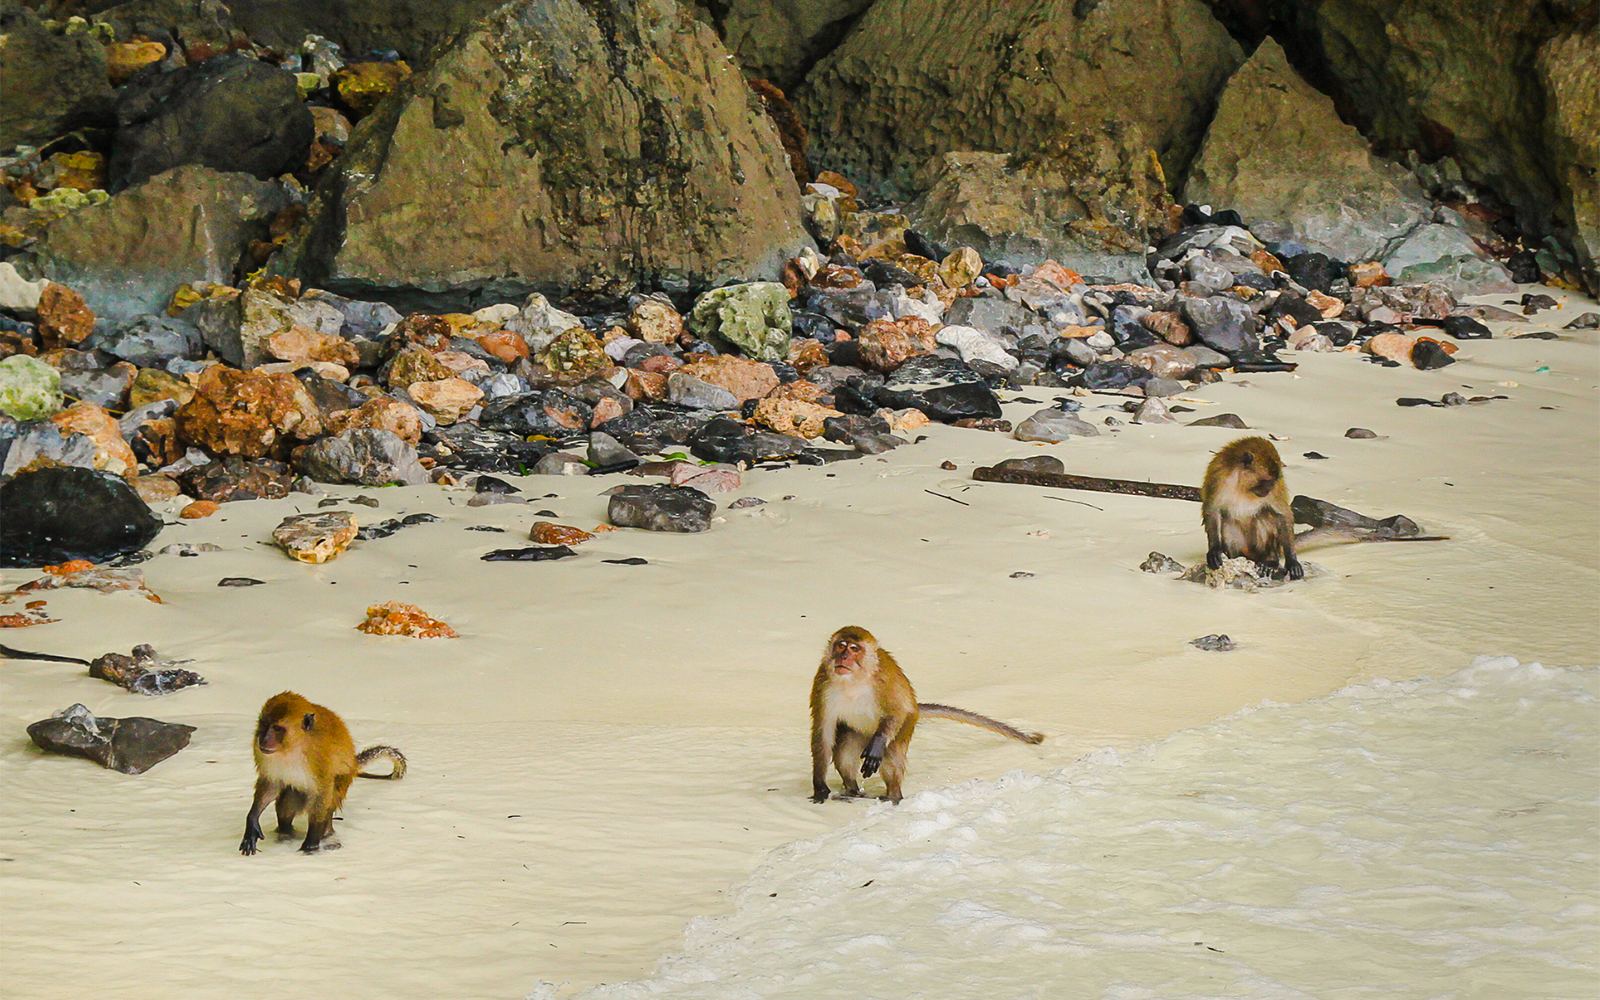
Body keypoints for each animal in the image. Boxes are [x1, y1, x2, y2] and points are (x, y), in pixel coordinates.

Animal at [240, 691, 406, 856]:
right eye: (264, 725)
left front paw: (311, 843)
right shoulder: (262, 753)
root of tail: (353, 764)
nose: (264, 739)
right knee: (287, 803)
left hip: (343, 781)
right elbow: (271, 784)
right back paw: (286, 833)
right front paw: (252, 820)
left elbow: (322, 792)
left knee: (330, 797)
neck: (294, 746)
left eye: (277, 728)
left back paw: (326, 834)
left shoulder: (320, 756)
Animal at [810, 626, 1043, 805]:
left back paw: (892, 796)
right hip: (857, 732)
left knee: (891, 754)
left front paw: (878, 743)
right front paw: (820, 787)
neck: (853, 681)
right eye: (840, 646)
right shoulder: (823, 682)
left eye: (854, 649)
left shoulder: (884, 681)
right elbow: (823, 733)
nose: (843, 657)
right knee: (845, 753)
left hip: (906, 727)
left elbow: (897, 710)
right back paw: (852, 791)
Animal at [1202, 436, 1303, 580]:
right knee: (1228, 521)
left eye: (1273, 482)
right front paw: (1215, 549)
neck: (1241, 483)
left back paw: (1270, 561)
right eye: (1266, 481)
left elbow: (1284, 514)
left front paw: (1292, 560)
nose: (1269, 489)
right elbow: (1212, 509)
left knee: (1263, 515)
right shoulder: (1217, 475)